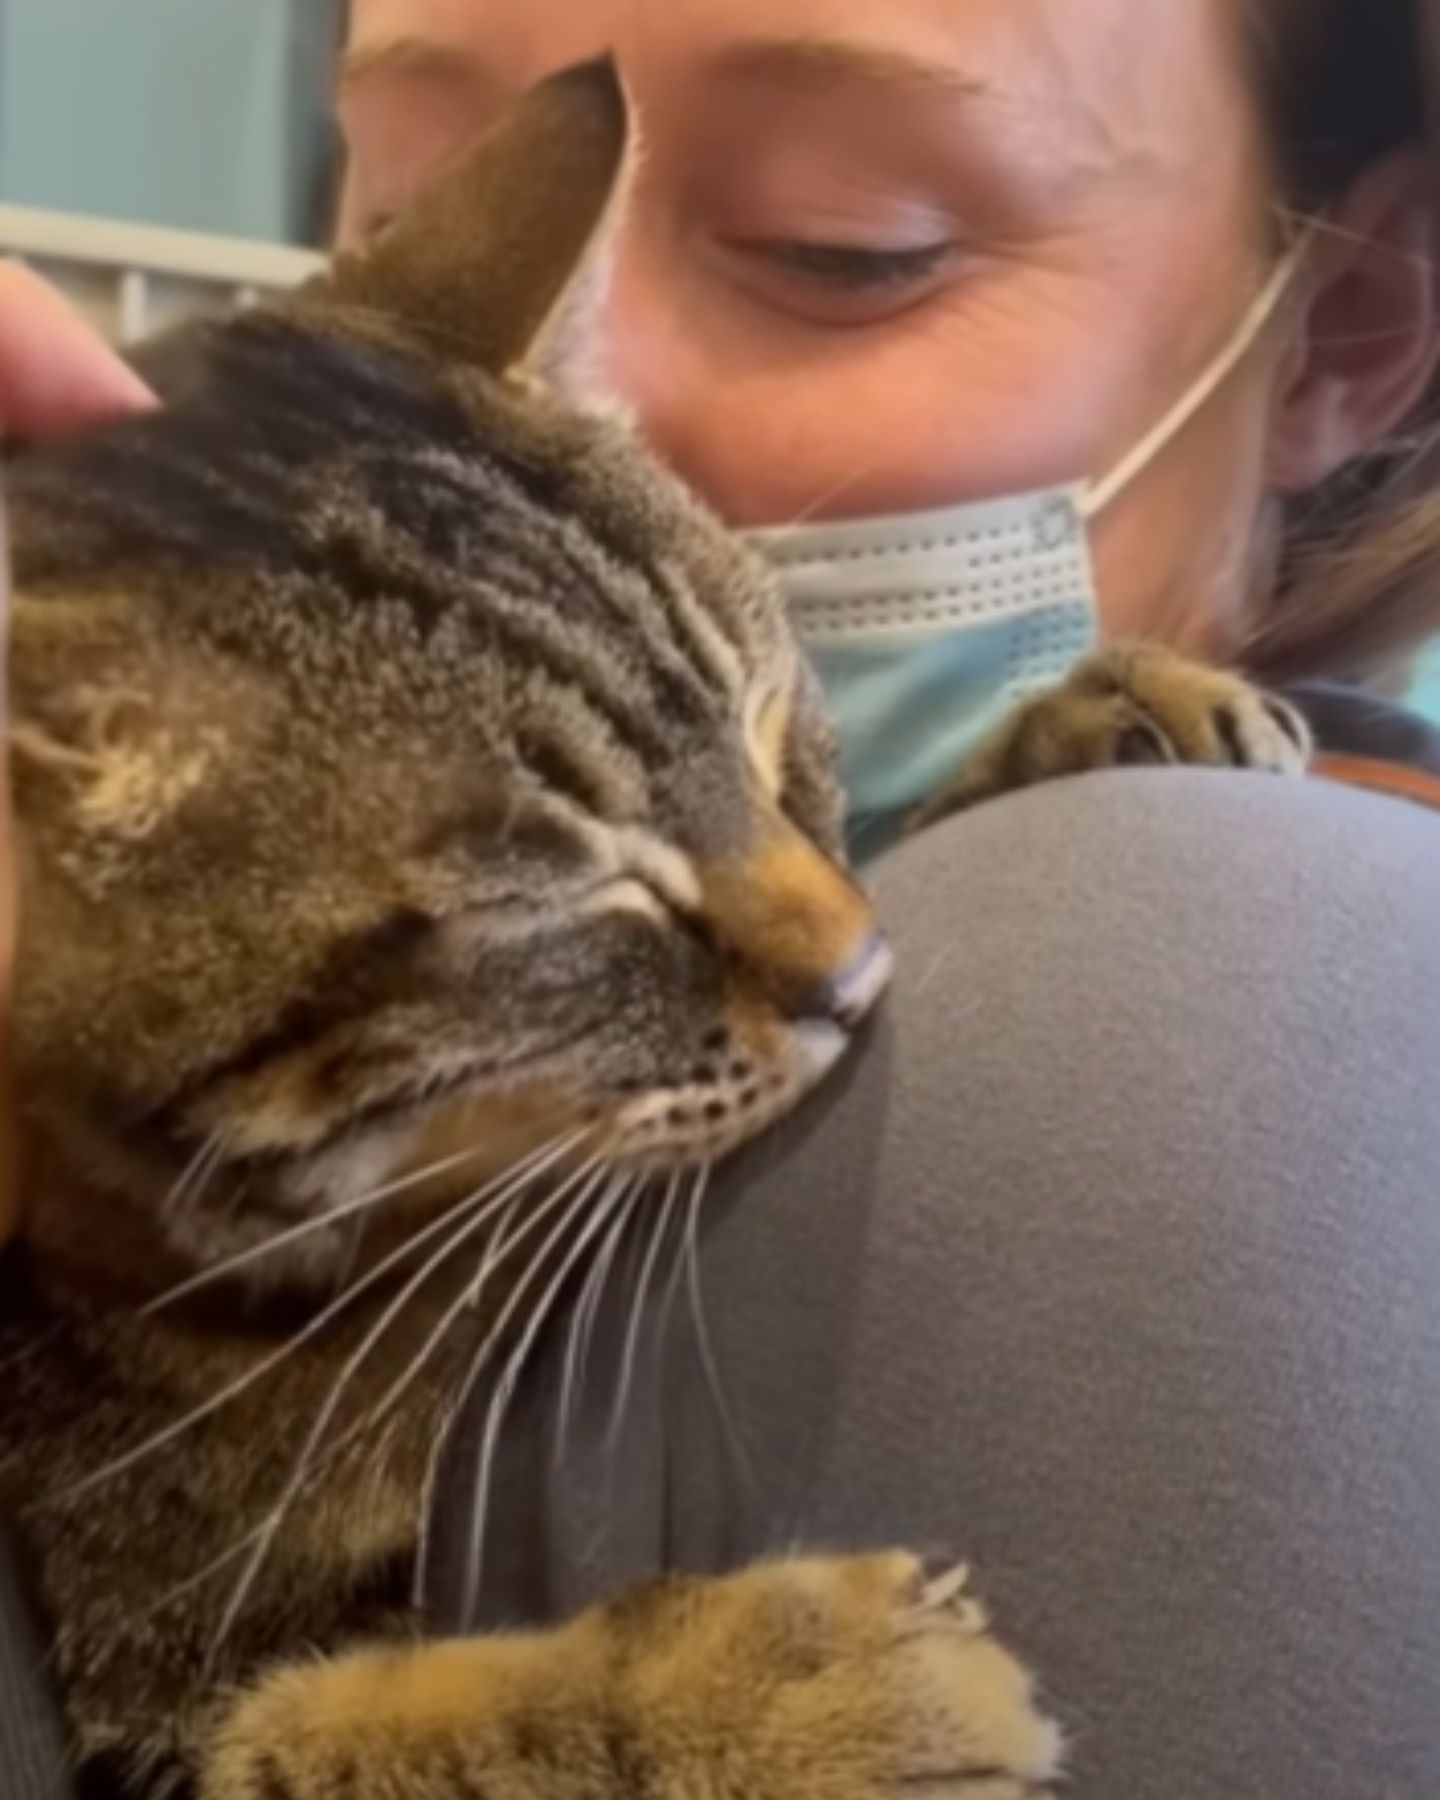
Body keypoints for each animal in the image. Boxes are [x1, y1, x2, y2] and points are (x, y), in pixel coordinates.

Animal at [0, 56, 1303, 1800]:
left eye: (764, 717)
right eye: (565, 895)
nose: (858, 976)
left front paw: (1093, 716)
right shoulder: (158, 1709)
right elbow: (423, 1731)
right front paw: (787, 1692)